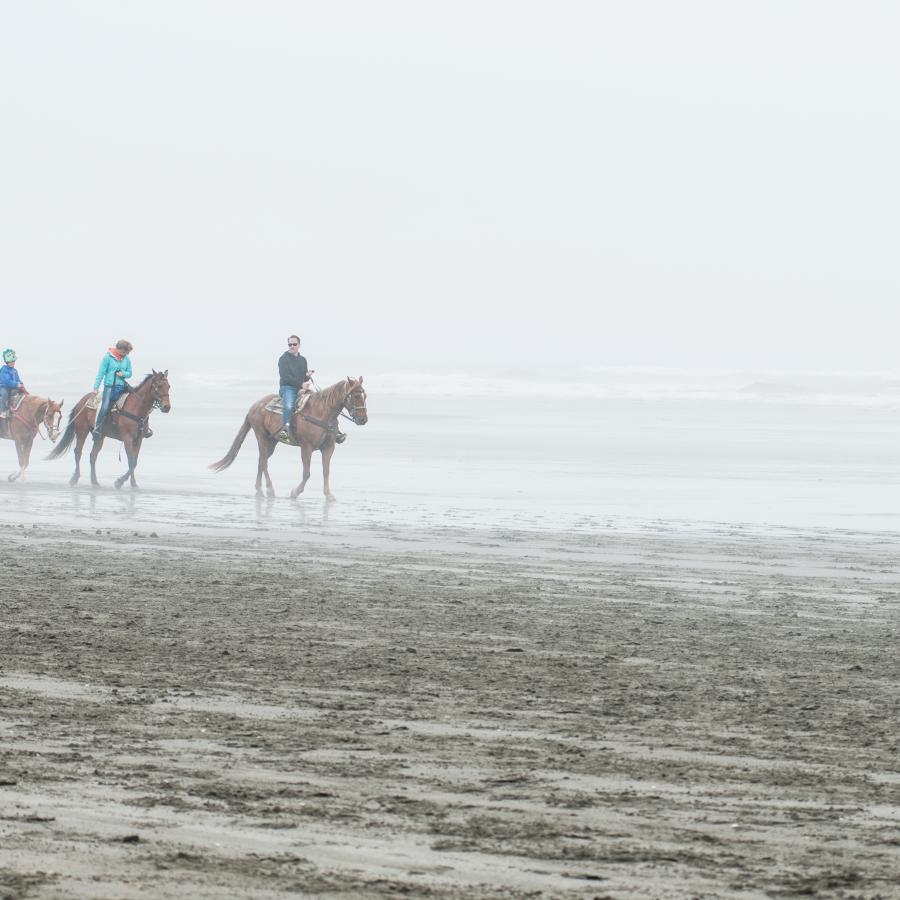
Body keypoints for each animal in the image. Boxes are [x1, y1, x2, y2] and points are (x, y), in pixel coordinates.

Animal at [209, 374, 368, 500]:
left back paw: (259, 490)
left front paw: (328, 495)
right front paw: (295, 492)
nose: (363, 420)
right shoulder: (306, 447)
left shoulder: (328, 447)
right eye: (355, 396)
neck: (321, 413)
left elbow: (326, 471)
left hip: (272, 441)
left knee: (261, 461)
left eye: (365, 395)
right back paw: (269, 489)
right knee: (263, 462)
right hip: (261, 436)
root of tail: (254, 406)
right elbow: (306, 473)